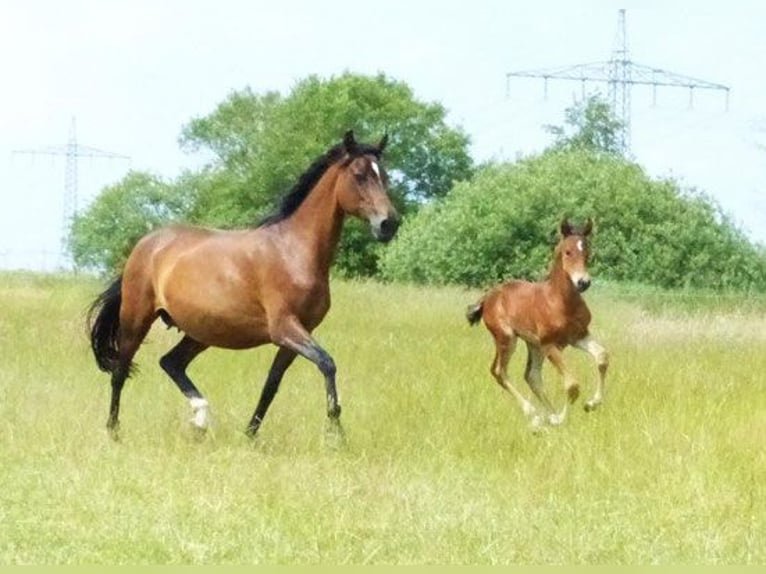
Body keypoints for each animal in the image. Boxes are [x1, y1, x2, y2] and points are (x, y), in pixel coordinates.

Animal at [88, 130, 402, 438]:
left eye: (384, 176)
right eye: (359, 175)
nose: (389, 224)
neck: (293, 251)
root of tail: (146, 244)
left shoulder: (298, 335)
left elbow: (271, 385)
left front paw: (250, 434)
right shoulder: (284, 328)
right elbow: (327, 364)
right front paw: (336, 432)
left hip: (202, 330)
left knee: (170, 362)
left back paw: (200, 418)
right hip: (137, 319)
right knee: (120, 372)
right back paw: (114, 432)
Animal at [468, 219, 612, 428]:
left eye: (587, 251)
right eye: (567, 251)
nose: (583, 282)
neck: (561, 301)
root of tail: (487, 297)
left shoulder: (578, 336)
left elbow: (602, 357)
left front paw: (591, 404)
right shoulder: (550, 343)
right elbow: (572, 385)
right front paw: (561, 418)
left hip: (533, 344)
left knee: (531, 376)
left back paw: (548, 416)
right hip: (506, 338)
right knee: (499, 371)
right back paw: (534, 415)